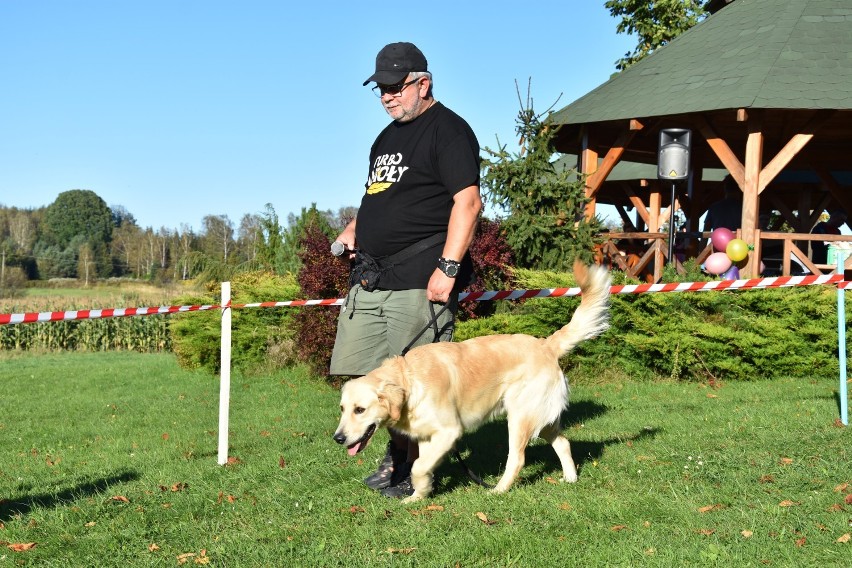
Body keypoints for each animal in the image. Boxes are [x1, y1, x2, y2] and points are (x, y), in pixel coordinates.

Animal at [330, 262, 608, 502]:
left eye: (360, 410)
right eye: (342, 409)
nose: (338, 438)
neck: (411, 380)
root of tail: (546, 345)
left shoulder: (449, 431)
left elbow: (418, 466)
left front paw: (417, 491)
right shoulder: (425, 436)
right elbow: (419, 465)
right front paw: (418, 495)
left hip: (520, 417)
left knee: (517, 459)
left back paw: (498, 490)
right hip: (541, 419)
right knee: (563, 442)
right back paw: (570, 477)